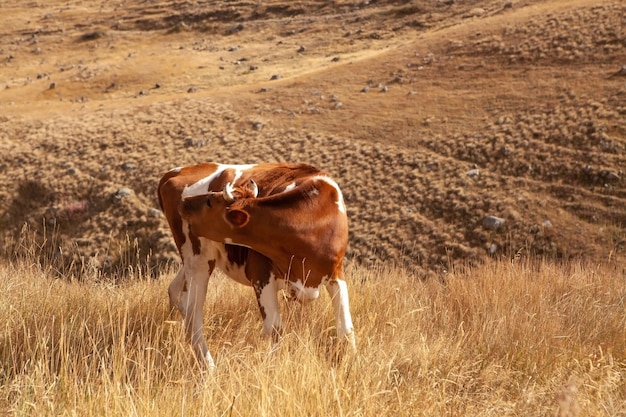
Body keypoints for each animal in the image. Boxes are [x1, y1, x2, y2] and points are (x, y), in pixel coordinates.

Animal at [157, 162, 356, 368]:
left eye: (210, 201)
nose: (184, 202)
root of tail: (175, 172)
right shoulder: (260, 274)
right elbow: (274, 329)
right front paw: (273, 367)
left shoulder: (336, 275)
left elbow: (346, 328)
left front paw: (351, 364)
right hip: (197, 260)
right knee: (193, 317)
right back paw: (210, 367)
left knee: (176, 292)